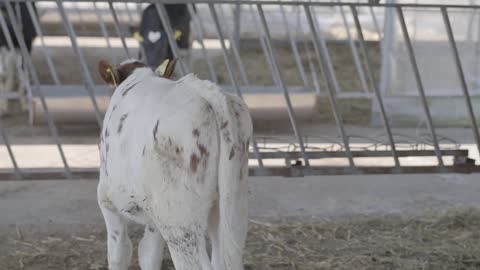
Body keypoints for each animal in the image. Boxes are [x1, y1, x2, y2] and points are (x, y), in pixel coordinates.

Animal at [94, 59, 251, 270]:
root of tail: (203, 90)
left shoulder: (107, 201)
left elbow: (119, 253)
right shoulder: (153, 218)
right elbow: (148, 254)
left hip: (179, 221)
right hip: (232, 209)